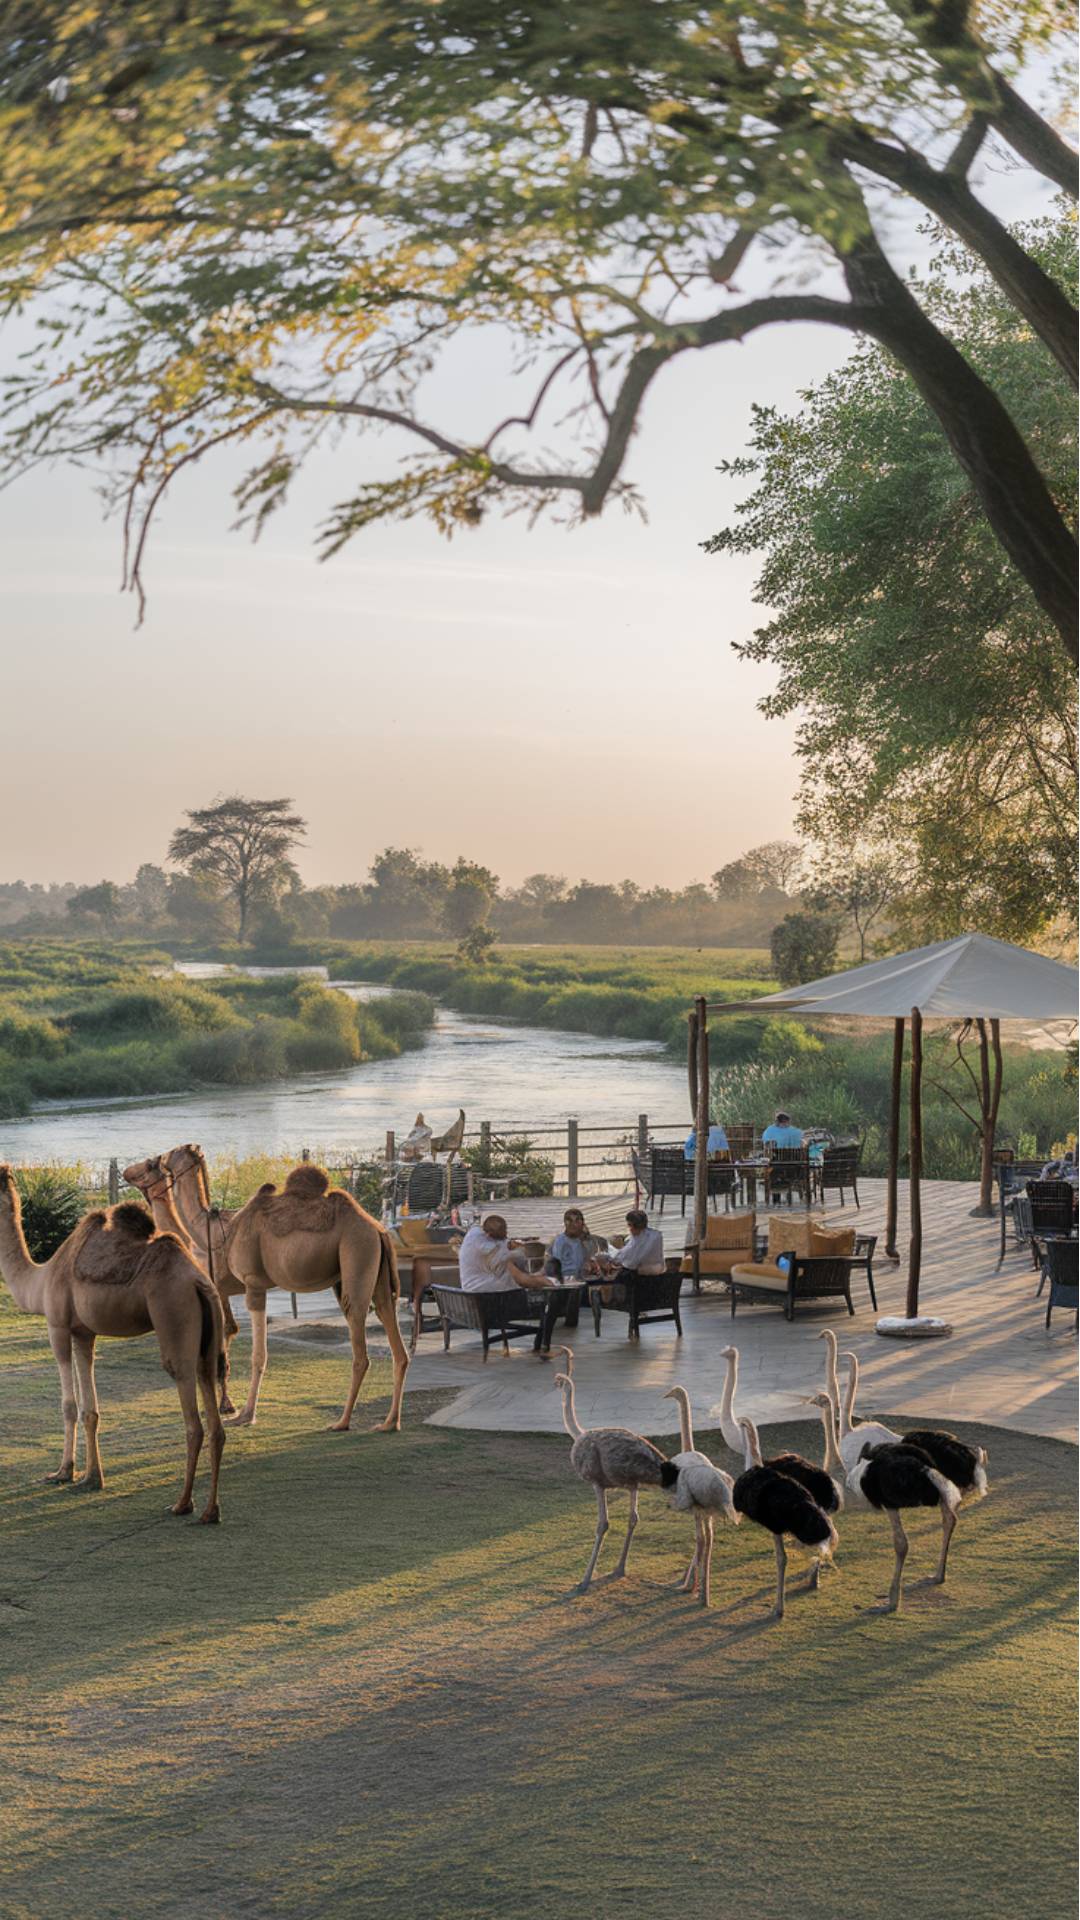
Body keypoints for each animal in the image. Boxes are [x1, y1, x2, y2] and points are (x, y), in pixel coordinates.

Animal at [0, 1159, 224, 1520]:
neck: (40, 1280)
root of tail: (199, 1282)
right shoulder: (83, 1332)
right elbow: (90, 1410)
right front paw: (91, 1478)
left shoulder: (57, 1325)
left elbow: (68, 1405)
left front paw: (63, 1472)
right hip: (209, 1335)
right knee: (212, 1406)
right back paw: (210, 1511)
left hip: (174, 1314)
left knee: (191, 1412)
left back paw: (182, 1503)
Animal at [164, 1144, 407, 1436]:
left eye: (173, 1152)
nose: (159, 1160)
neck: (219, 1233)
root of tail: (378, 1229)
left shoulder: (253, 1282)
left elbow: (258, 1355)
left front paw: (246, 1415)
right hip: (376, 1275)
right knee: (393, 1333)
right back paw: (390, 1422)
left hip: (357, 1253)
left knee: (360, 1339)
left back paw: (343, 1421)